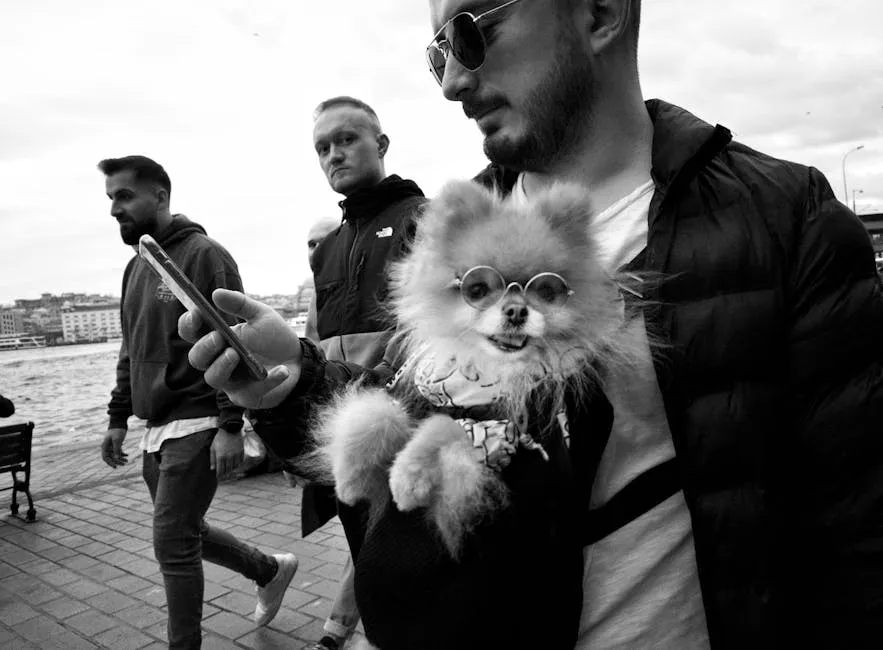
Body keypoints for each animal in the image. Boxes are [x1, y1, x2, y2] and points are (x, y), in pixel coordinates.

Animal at [310, 178, 636, 556]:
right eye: (477, 289)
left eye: (546, 292)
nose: (516, 311)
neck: (478, 370)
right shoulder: (405, 389)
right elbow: (374, 413)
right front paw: (348, 479)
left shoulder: (501, 429)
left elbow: (442, 427)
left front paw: (408, 477)